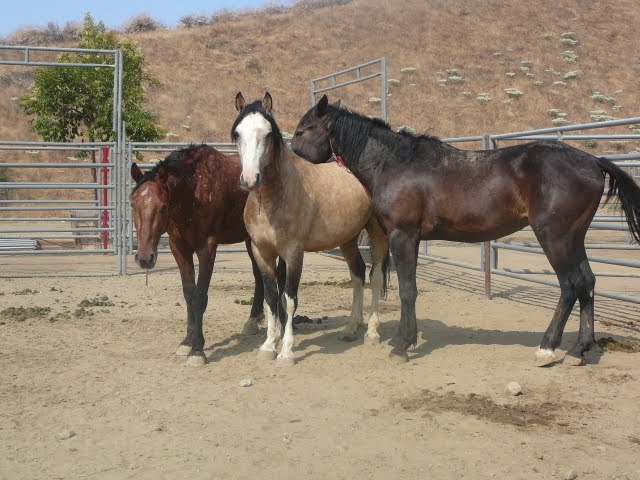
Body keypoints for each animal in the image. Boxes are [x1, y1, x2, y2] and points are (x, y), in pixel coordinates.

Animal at [130, 144, 264, 366]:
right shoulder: (179, 248)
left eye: (163, 206)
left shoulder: (207, 248)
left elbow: (200, 297)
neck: (194, 191)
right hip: (250, 240)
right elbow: (188, 295)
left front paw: (197, 350)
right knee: (259, 275)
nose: (145, 258)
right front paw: (187, 342)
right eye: (133, 204)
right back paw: (254, 320)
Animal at [231, 92, 388, 366]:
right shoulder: (262, 253)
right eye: (238, 133)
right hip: (347, 238)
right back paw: (351, 328)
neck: (273, 199)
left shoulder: (294, 253)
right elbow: (271, 298)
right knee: (357, 273)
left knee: (375, 277)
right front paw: (268, 346)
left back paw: (371, 332)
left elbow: (289, 299)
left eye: (268, 134)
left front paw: (286, 352)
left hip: (377, 235)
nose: (250, 179)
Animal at [292, 94, 640, 366]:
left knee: (571, 285)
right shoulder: (409, 239)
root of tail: (593, 161)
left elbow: (407, 290)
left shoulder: (403, 236)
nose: (291, 155)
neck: (395, 164)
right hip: (574, 238)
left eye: (302, 129)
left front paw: (403, 344)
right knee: (588, 283)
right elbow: (409, 289)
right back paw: (581, 347)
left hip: (554, 238)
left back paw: (547, 348)